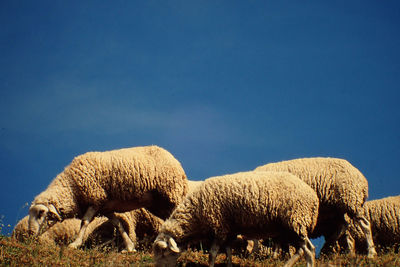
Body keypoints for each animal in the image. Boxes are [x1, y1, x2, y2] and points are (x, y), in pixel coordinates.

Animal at [28, 146, 188, 252]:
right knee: (169, 218)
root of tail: (175, 159)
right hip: (158, 203)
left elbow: (84, 222)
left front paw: (74, 244)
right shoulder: (106, 208)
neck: (71, 188)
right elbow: (118, 224)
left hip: (171, 193)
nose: (29, 234)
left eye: (41, 212)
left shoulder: (95, 199)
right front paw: (129, 247)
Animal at [153, 172, 318, 267]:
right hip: (291, 226)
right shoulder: (229, 229)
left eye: (163, 252)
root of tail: (312, 196)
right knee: (301, 250)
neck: (196, 214)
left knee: (308, 250)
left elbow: (213, 253)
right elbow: (228, 252)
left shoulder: (219, 227)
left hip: (295, 220)